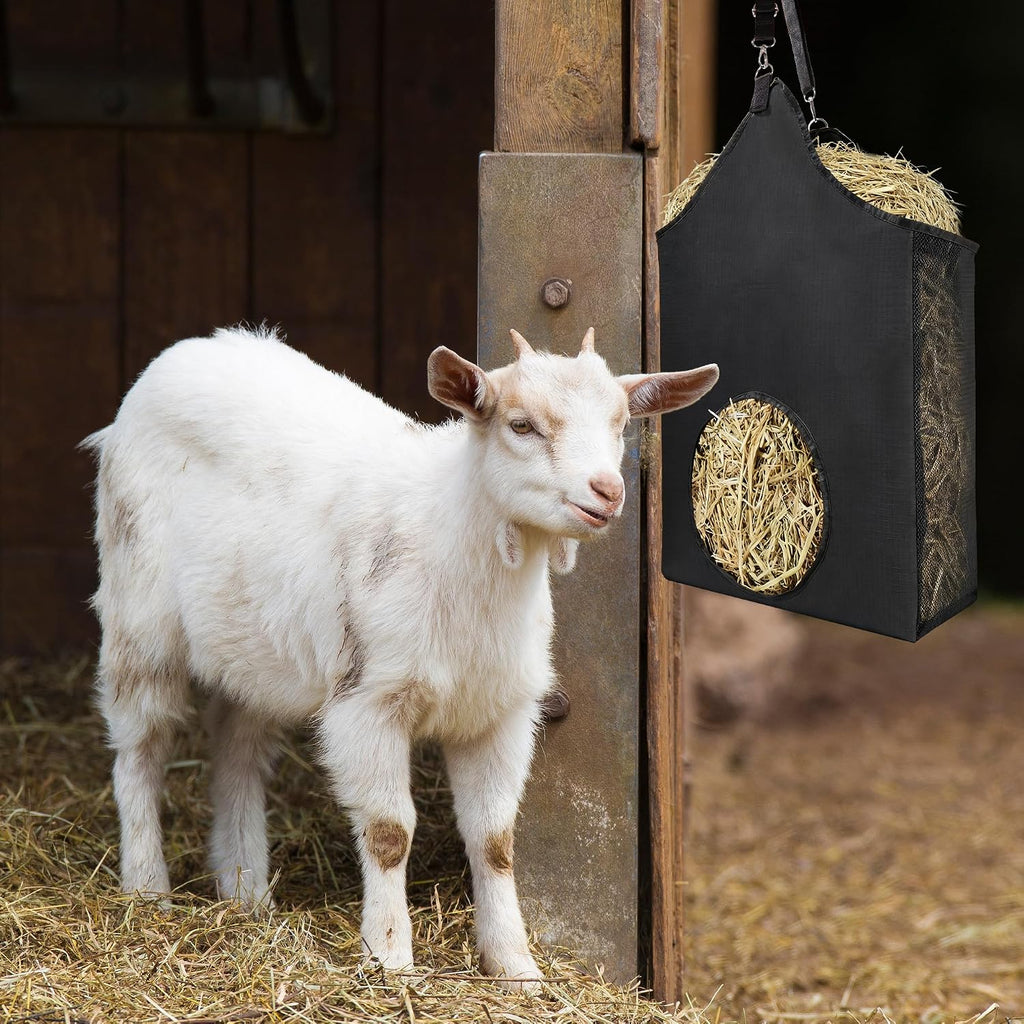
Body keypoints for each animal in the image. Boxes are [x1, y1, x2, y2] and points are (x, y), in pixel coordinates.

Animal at [83, 324, 718, 988]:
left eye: (620, 423)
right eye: (520, 425)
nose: (607, 491)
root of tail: (186, 352)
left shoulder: (501, 713)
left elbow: (495, 840)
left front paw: (515, 965)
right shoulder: (368, 702)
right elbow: (390, 833)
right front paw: (390, 958)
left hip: (256, 650)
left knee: (237, 751)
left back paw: (246, 891)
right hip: (138, 615)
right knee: (140, 749)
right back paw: (147, 888)